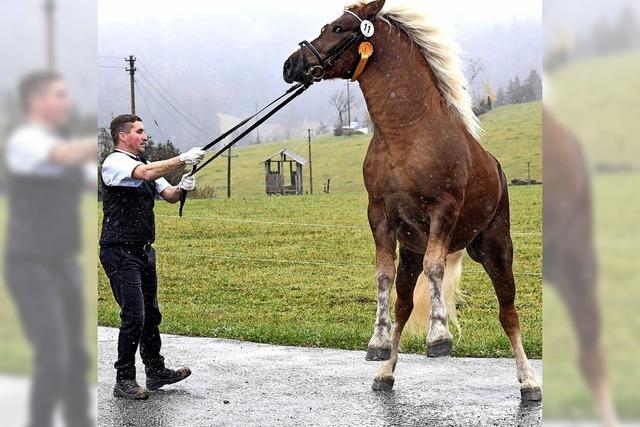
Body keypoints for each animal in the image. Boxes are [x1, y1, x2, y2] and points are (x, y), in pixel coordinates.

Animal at [284, 0, 540, 402]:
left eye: (339, 28)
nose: (291, 65)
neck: (407, 134)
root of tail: (497, 169)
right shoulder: (380, 217)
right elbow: (382, 276)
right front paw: (377, 344)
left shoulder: (443, 210)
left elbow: (436, 268)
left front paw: (439, 336)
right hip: (411, 253)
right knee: (404, 304)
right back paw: (385, 374)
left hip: (497, 249)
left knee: (508, 311)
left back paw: (529, 381)